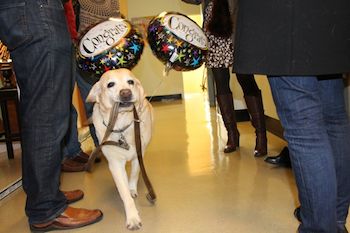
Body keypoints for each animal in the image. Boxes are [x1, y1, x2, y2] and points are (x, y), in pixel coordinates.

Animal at [86, 68, 153, 230]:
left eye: (130, 82)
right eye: (110, 84)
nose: (126, 92)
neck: (121, 125)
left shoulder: (138, 155)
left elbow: (134, 174)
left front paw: (132, 189)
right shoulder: (115, 164)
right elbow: (124, 192)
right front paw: (133, 217)